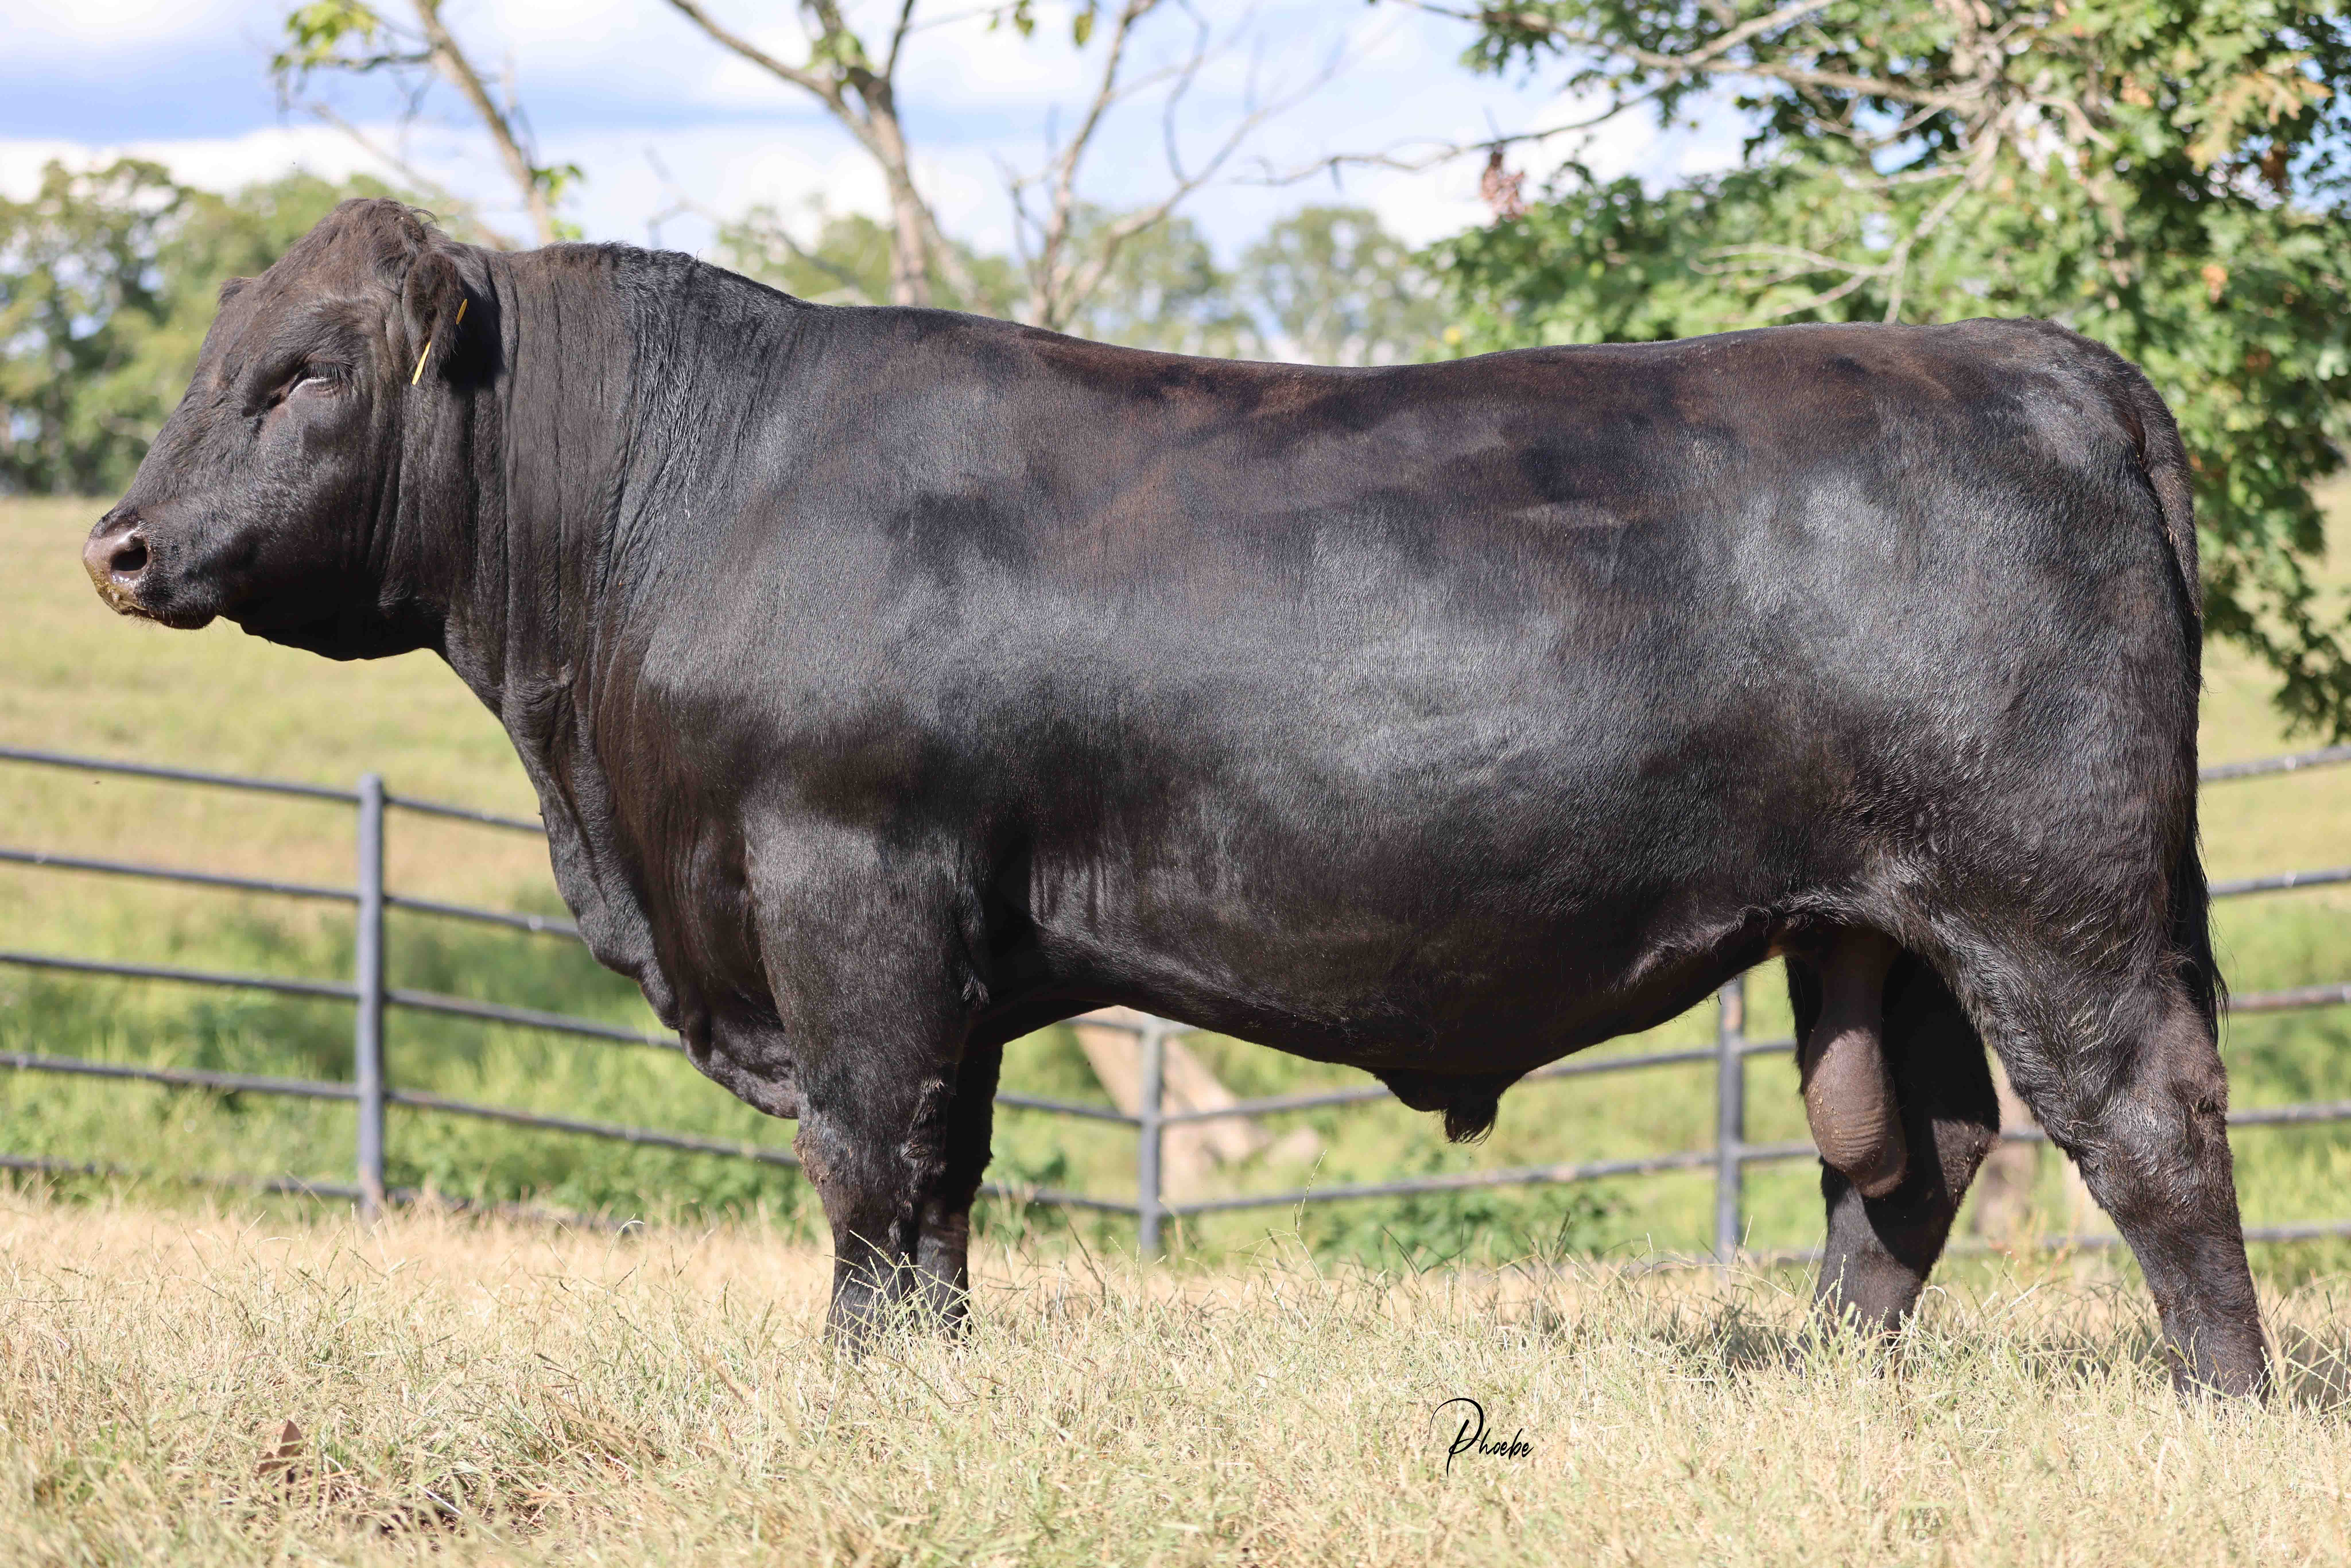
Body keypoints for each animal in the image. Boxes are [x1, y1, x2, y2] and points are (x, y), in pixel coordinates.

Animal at [84, 200, 2267, 1396]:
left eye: (301, 373)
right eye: (216, 357)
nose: (116, 543)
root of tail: (2032, 356)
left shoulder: (850, 883)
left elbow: (871, 1163)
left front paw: (862, 1390)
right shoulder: (933, 938)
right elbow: (940, 1178)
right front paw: (929, 1382)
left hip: (2049, 889)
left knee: (2145, 1123)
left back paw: (2226, 1405)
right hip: (1878, 920)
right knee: (1915, 1154)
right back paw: (1818, 1386)